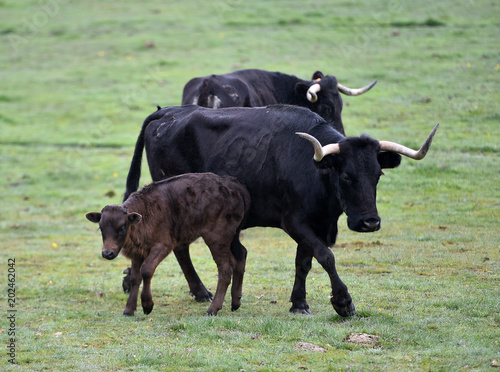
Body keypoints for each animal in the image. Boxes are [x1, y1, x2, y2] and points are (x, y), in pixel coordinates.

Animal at [87, 173, 250, 316]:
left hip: (216, 239)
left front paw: (147, 306)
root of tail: (232, 185)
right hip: (230, 238)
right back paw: (235, 303)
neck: (144, 212)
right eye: (101, 228)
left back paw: (212, 310)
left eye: (122, 228)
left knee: (225, 268)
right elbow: (135, 277)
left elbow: (146, 270)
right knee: (240, 256)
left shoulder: (163, 246)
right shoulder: (138, 252)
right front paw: (128, 310)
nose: (107, 253)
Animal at [124, 104, 438, 316]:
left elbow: (304, 262)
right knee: (181, 249)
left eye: (378, 175)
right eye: (347, 176)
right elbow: (326, 257)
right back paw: (201, 292)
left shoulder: (318, 224)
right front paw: (343, 301)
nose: (369, 222)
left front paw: (299, 302)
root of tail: (169, 112)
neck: (314, 170)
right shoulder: (295, 222)